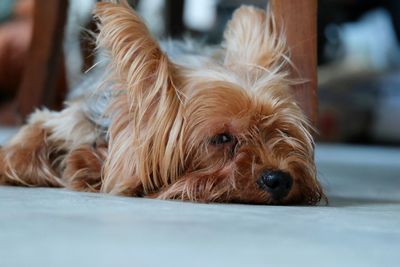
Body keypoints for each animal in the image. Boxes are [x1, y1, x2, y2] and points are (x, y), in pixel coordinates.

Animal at [0, 0, 324, 205]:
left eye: (282, 132)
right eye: (221, 138)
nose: (280, 179)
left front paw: (87, 165)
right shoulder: (72, 120)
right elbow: (28, 140)